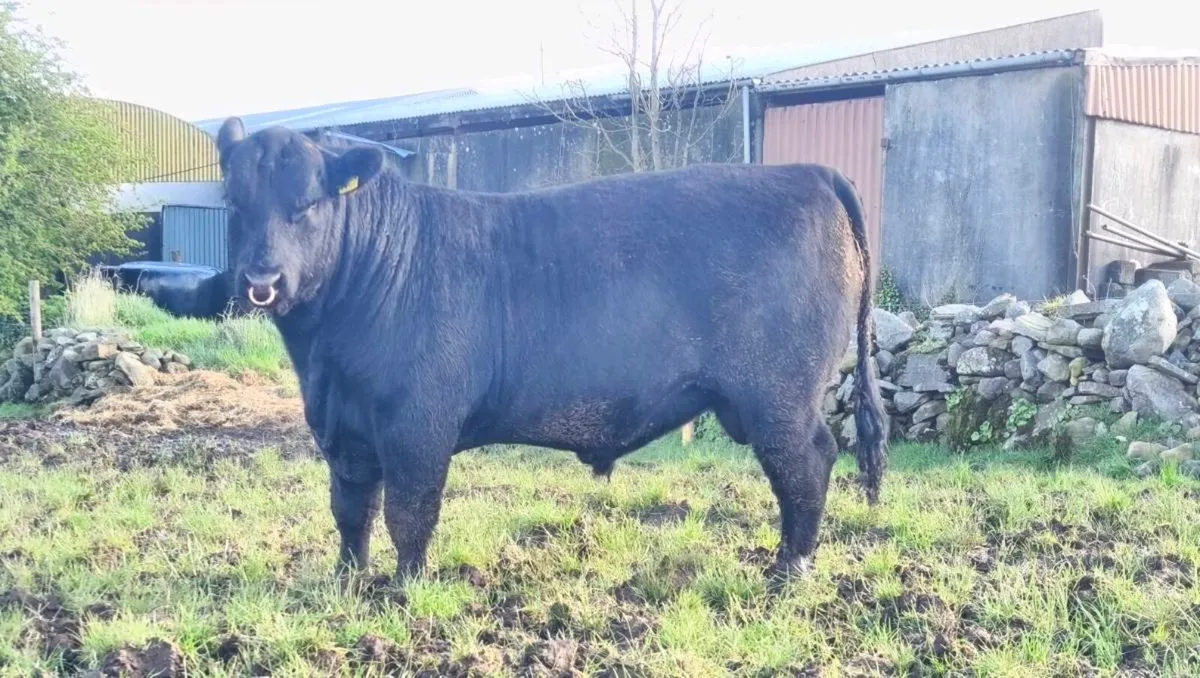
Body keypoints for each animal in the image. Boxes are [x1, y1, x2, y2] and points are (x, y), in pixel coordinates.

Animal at [214, 116, 887, 581]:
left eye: (308, 203)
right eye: (232, 203)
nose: (261, 279)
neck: (325, 354)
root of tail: (810, 172)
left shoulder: (417, 425)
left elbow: (410, 512)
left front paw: (405, 589)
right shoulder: (343, 430)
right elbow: (351, 510)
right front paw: (348, 582)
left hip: (778, 396)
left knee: (808, 465)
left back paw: (788, 572)